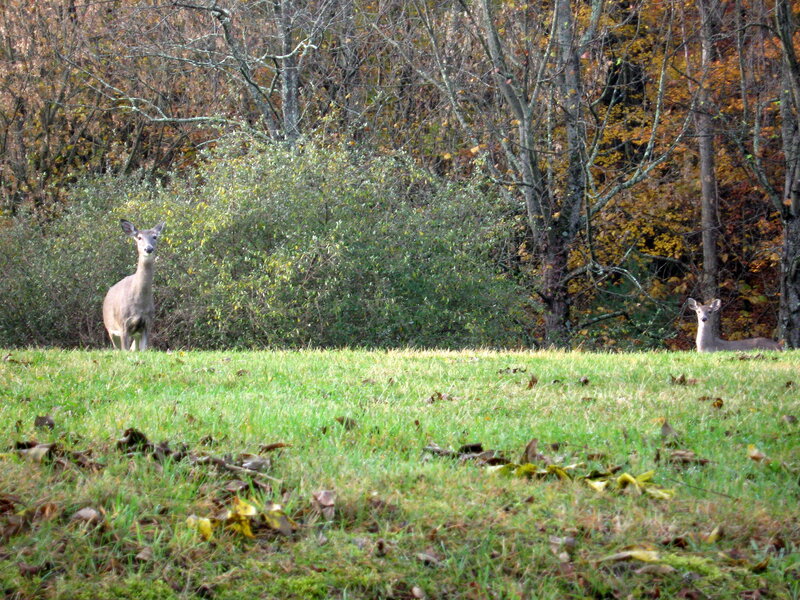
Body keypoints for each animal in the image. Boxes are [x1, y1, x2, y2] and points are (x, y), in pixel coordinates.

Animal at [103, 220, 165, 350]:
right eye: (139, 237)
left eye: (155, 237)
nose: (149, 248)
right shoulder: (123, 325)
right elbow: (125, 350)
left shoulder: (147, 324)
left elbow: (143, 350)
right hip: (110, 328)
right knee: (118, 348)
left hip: (135, 334)